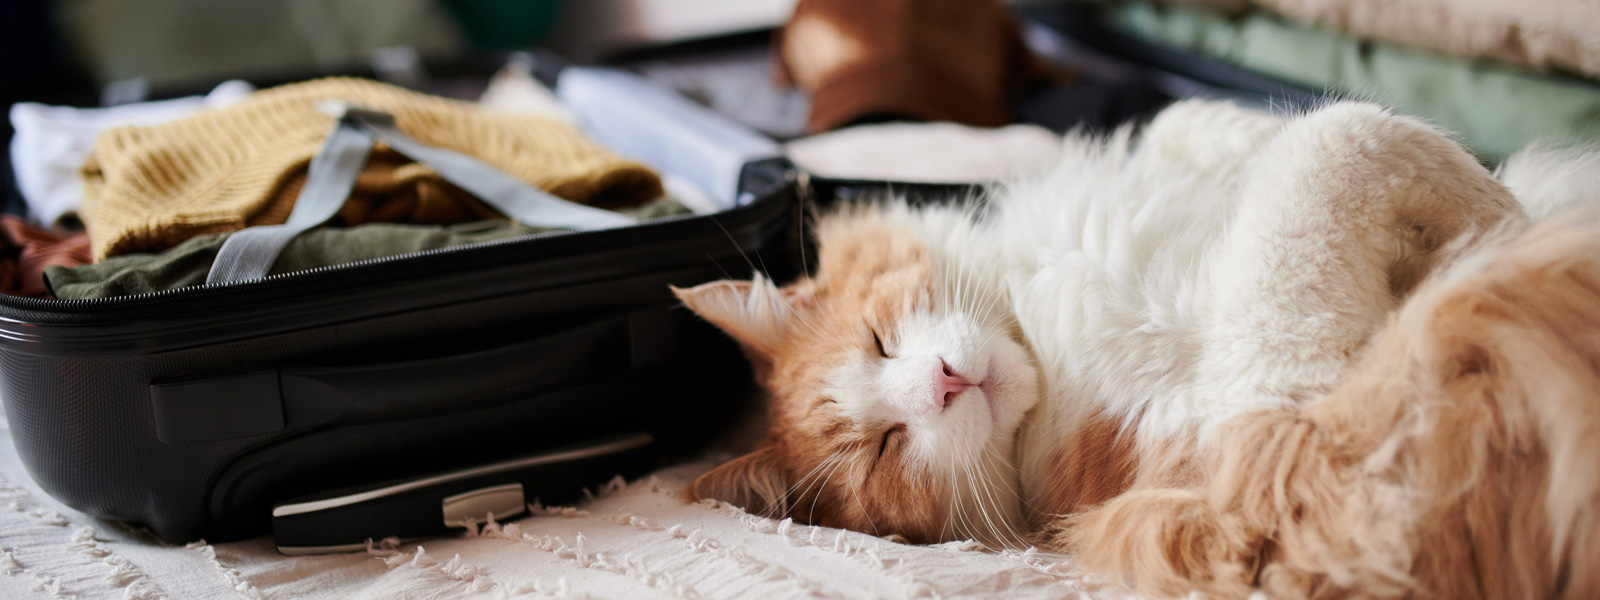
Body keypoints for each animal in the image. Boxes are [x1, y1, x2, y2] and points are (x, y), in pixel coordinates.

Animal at [672, 101, 1600, 598]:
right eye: (884, 449)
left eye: (880, 338)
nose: (942, 383)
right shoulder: (1295, 455)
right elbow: (1333, 142)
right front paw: (1510, 218)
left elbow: (1212, 125)